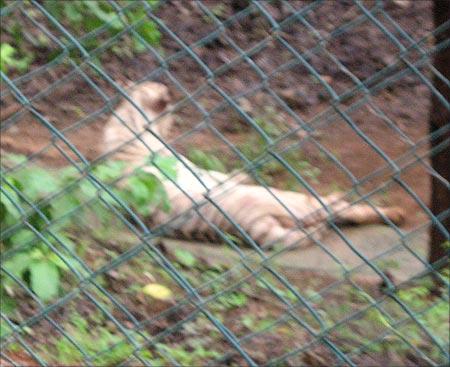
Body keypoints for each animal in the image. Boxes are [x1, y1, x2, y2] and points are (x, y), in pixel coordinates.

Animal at [102, 82, 404, 250]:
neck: (125, 123)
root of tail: (247, 227)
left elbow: (224, 173)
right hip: (297, 201)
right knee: (345, 208)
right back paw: (393, 213)